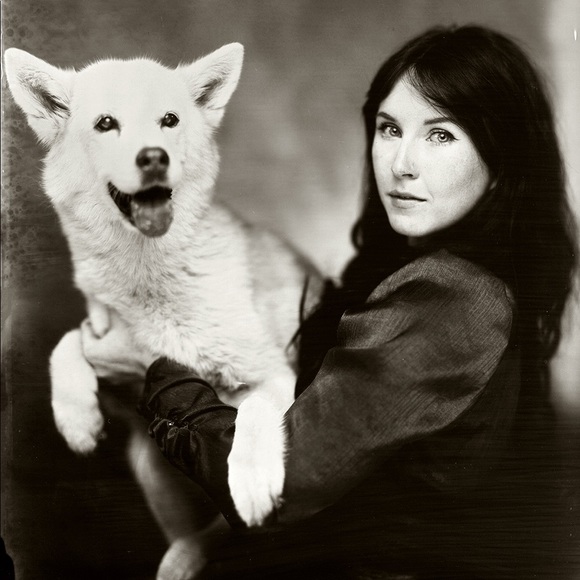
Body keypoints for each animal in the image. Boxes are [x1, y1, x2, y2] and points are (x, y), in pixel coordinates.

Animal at [5, 44, 321, 579]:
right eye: (106, 123)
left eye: (169, 120)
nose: (154, 156)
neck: (151, 275)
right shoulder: (122, 378)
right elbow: (68, 341)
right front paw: (76, 417)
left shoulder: (275, 373)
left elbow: (254, 411)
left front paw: (253, 479)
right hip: (148, 462)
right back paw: (182, 557)